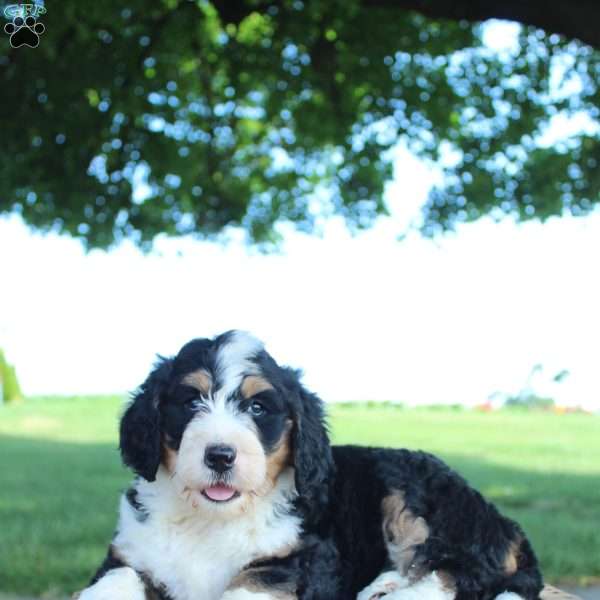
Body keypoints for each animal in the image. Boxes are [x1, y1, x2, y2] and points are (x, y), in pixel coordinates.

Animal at [78, 330, 544, 600]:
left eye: (259, 407)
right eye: (191, 401)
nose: (220, 455)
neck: (212, 520)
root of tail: (503, 524)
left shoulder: (300, 558)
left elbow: (250, 584)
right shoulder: (130, 551)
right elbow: (117, 580)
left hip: (413, 495)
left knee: (466, 571)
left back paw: (396, 592)